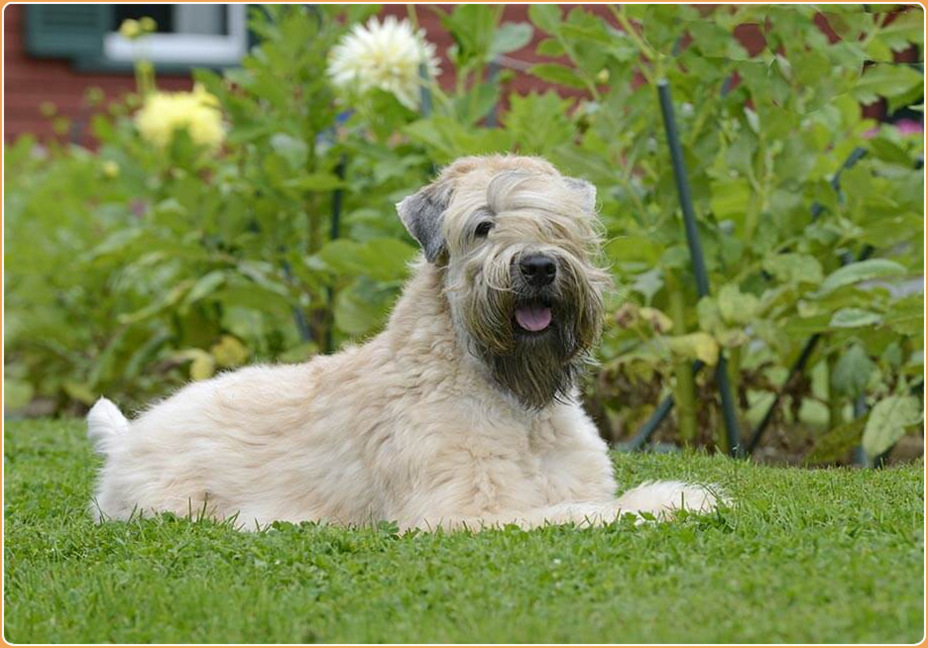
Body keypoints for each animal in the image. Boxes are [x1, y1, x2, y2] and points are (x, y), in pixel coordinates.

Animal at [87, 154, 720, 528]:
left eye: (559, 223)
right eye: (483, 225)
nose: (539, 266)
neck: (514, 402)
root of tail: (128, 437)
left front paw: (683, 496)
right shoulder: (464, 510)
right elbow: (583, 512)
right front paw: (670, 500)